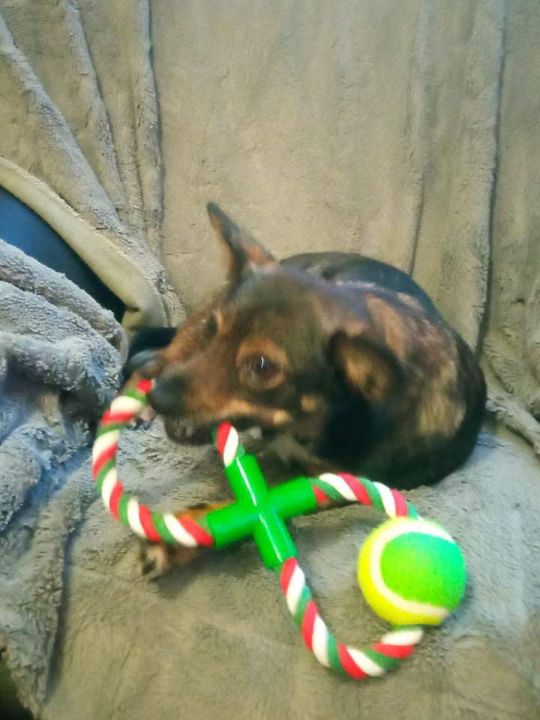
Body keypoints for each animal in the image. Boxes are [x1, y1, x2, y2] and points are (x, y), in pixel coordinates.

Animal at [127, 203, 486, 576]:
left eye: (262, 366)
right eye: (214, 329)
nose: (158, 397)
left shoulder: (335, 486)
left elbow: (260, 502)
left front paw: (179, 536)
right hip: (191, 329)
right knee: (157, 358)